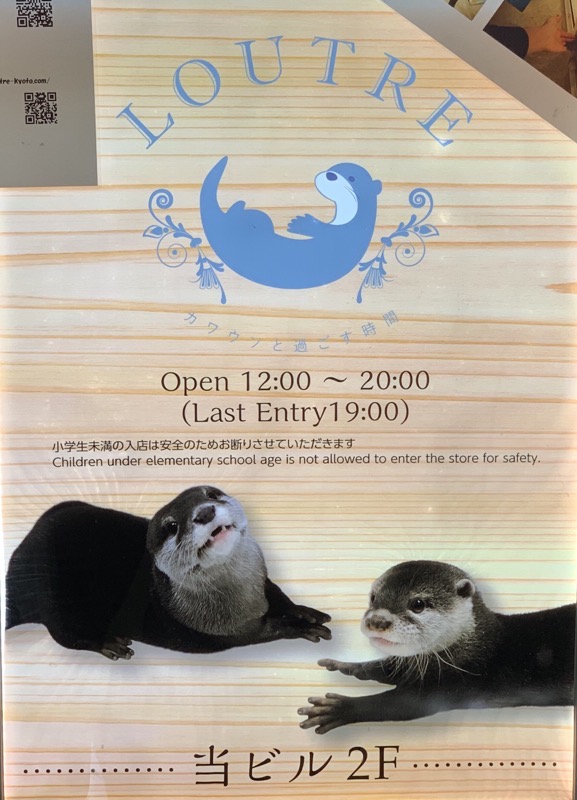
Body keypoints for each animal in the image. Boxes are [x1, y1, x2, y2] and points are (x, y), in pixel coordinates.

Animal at [5, 486, 331, 660]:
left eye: (212, 494)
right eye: (172, 526)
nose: (205, 512)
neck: (244, 595)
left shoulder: (261, 580)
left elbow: (276, 592)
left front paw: (304, 611)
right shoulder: (226, 627)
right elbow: (263, 631)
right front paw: (299, 626)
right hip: (55, 600)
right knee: (65, 635)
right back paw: (109, 644)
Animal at [199, 156, 382, 289]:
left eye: (352, 178)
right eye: (332, 169)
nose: (330, 175)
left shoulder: (342, 234)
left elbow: (323, 230)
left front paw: (301, 223)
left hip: (258, 220)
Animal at [298, 560, 574, 733]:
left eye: (418, 604)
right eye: (373, 597)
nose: (377, 620)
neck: (474, 651)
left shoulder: (453, 683)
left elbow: (395, 703)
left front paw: (339, 708)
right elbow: (383, 668)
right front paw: (346, 666)